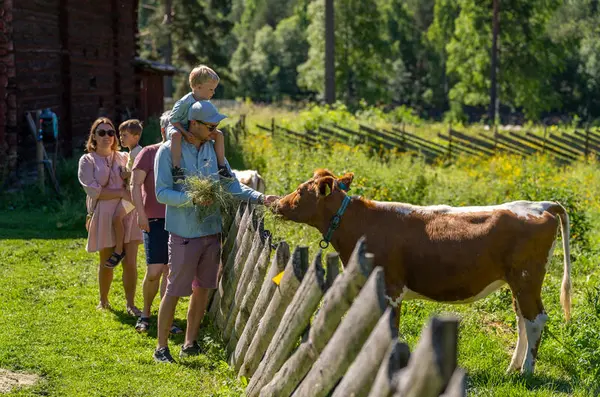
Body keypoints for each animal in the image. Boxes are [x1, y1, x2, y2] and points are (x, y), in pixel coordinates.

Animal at [274, 169, 572, 372]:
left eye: (300, 191)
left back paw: (527, 371)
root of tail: (539, 205)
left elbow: (390, 328)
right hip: (516, 282)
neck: (359, 224)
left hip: (527, 278)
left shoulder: (391, 288)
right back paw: (512, 368)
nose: (275, 202)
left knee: (535, 319)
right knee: (522, 318)